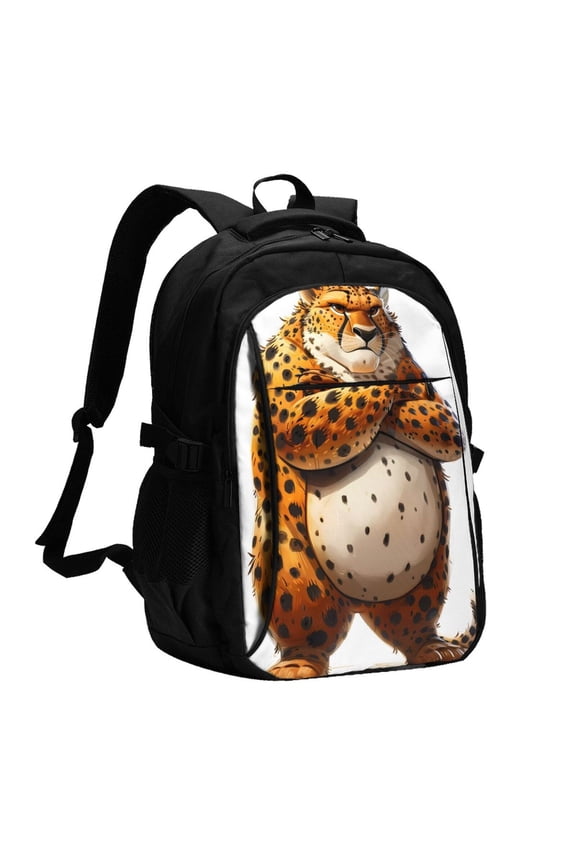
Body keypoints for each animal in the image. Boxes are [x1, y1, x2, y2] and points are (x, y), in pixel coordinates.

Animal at [250, 284, 476, 679]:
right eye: (338, 308)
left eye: (374, 311)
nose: (367, 334)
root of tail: (359, 603)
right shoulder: (291, 415)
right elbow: (338, 400)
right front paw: (328, 381)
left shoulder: (441, 413)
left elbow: (435, 416)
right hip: (294, 574)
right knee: (312, 631)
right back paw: (298, 664)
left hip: (428, 574)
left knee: (410, 625)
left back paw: (433, 648)